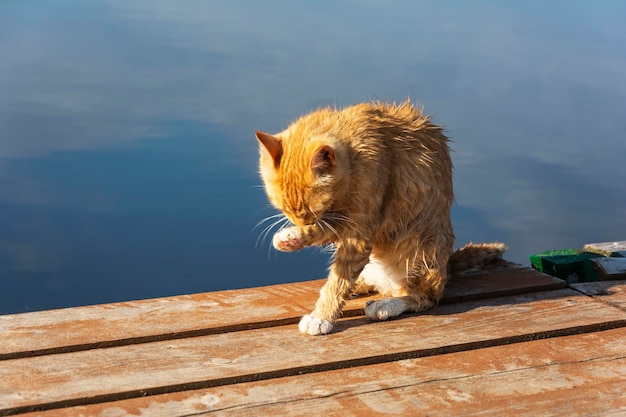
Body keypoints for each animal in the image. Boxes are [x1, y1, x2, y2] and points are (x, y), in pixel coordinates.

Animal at [254, 100, 502, 334]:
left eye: (311, 211)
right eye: (285, 210)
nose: (302, 222)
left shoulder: (360, 231)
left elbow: (338, 281)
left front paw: (321, 316)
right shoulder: (341, 223)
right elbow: (326, 237)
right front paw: (291, 237)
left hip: (418, 249)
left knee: (424, 297)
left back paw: (387, 304)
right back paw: (360, 285)